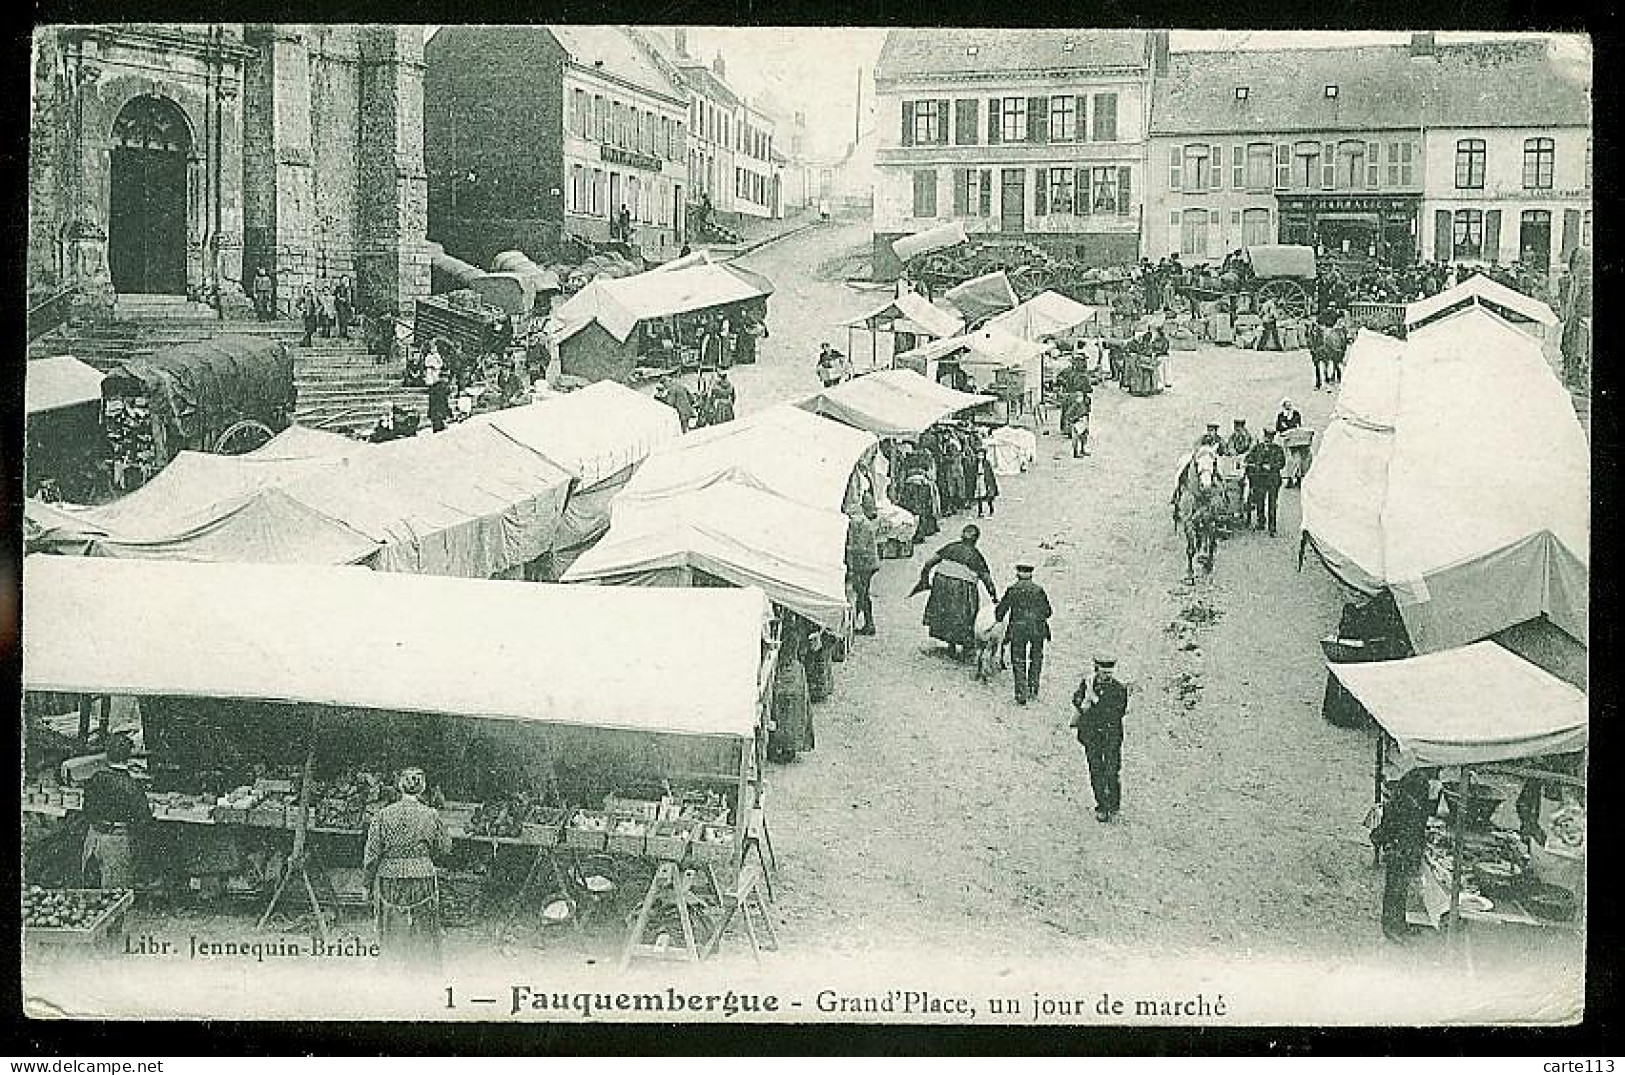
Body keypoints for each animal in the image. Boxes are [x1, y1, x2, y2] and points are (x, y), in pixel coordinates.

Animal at [1176, 444, 1222, 581]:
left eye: (1214, 462)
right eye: (1196, 463)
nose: (1206, 485)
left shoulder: (1211, 520)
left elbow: (1211, 544)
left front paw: (1208, 567)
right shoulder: (1188, 521)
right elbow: (1190, 548)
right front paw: (1190, 574)